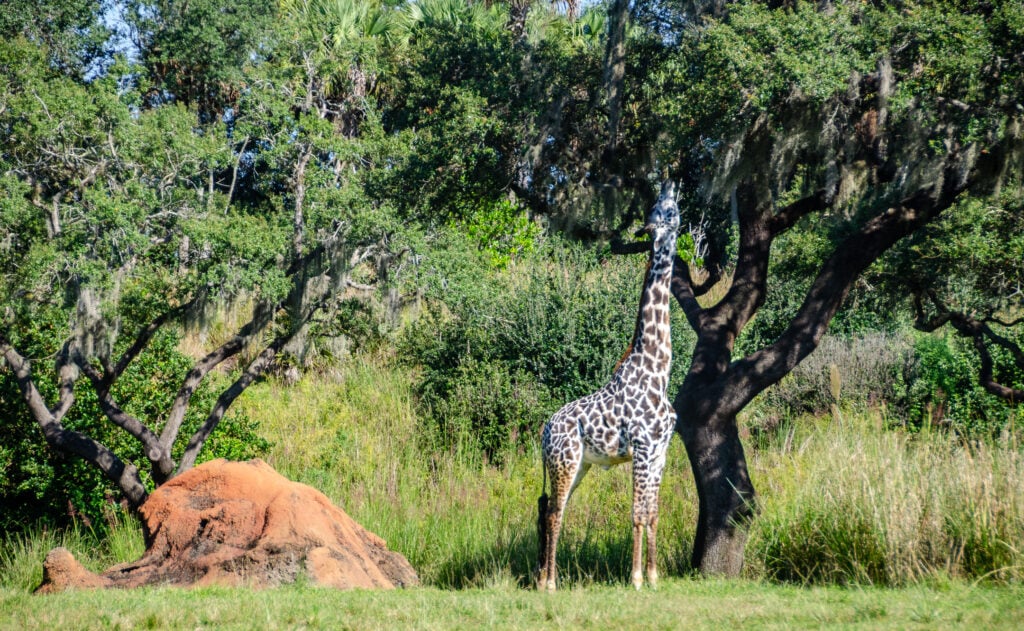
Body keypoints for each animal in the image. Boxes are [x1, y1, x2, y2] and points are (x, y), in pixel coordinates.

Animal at [536, 178, 679, 590]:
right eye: (663, 209)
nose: (670, 182)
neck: (658, 371)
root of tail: (544, 429)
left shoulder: (661, 451)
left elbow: (653, 512)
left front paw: (654, 577)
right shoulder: (643, 447)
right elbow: (637, 512)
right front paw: (635, 578)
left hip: (578, 464)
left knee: (551, 511)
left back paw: (545, 578)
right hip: (565, 461)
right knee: (554, 512)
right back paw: (550, 583)